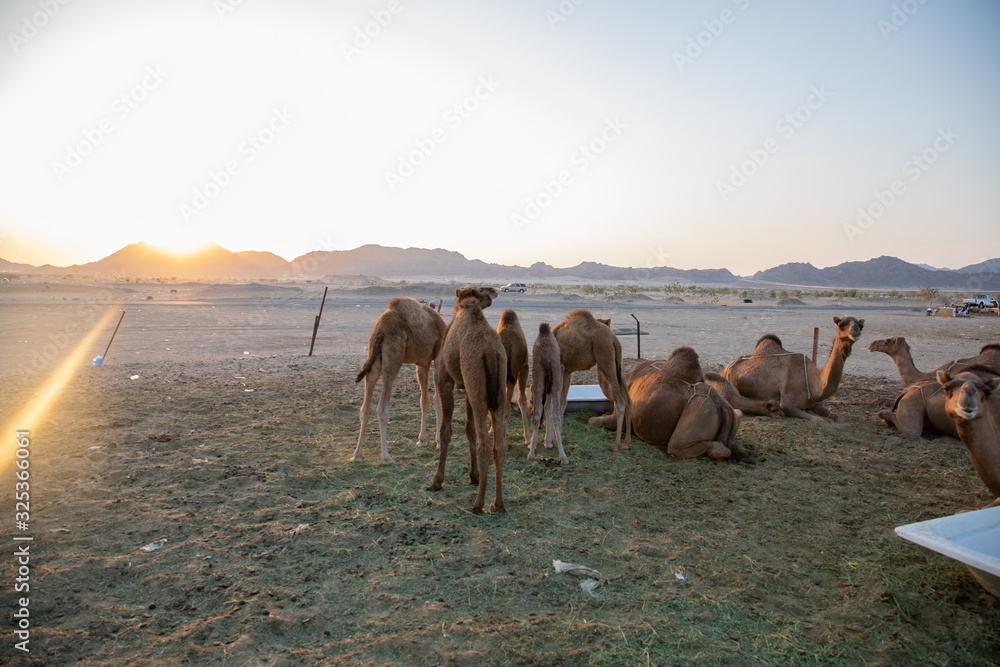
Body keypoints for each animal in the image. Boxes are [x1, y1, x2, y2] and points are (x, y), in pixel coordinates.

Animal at [353, 297, 447, 464]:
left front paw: (422, 440)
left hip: (374, 359)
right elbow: (437, 399)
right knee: (382, 407)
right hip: (393, 360)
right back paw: (386, 457)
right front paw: (438, 442)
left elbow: (424, 400)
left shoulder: (422, 362)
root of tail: (380, 330)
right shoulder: (437, 356)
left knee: (365, 406)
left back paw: (357, 455)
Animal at [427, 286, 509, 514]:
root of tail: (490, 352)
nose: (493, 293)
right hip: (497, 391)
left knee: (485, 444)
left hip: (478, 388)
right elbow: (468, 429)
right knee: (499, 445)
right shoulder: (467, 388)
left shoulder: (445, 379)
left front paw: (437, 481)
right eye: (483, 293)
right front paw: (474, 476)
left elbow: (446, 430)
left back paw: (478, 504)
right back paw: (498, 504)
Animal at [527, 323, 568, 464]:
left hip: (538, 376)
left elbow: (545, 408)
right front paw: (548, 442)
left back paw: (530, 454)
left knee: (536, 415)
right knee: (556, 415)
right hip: (556, 379)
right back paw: (564, 457)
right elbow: (549, 408)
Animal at [552, 309, 632, 451]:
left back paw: (615, 445)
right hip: (619, 366)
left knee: (620, 401)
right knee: (628, 399)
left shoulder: (560, 368)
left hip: (605, 360)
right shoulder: (566, 371)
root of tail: (614, 339)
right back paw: (626, 443)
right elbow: (562, 401)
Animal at [721, 316, 865, 422]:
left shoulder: (818, 404)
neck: (812, 381)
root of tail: (727, 367)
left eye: (860, 326)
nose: (855, 333)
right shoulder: (787, 404)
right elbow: (818, 419)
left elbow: (839, 418)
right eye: (841, 325)